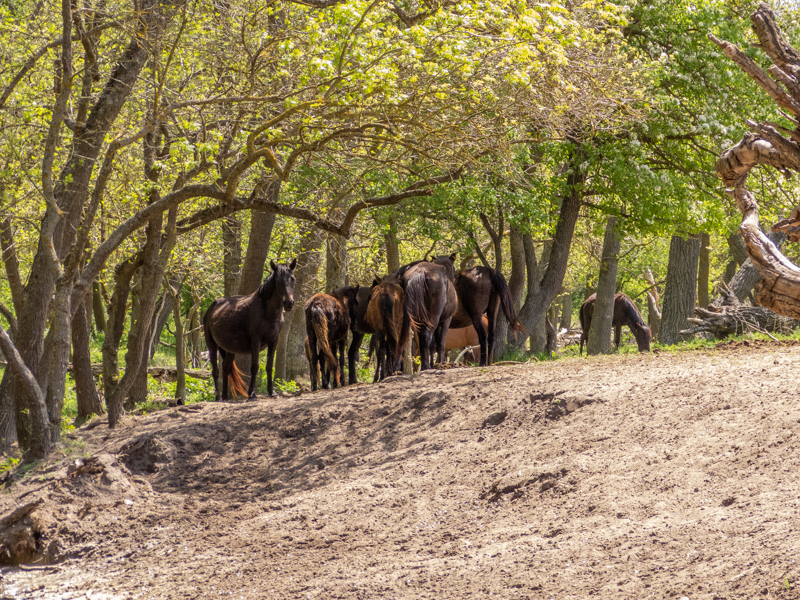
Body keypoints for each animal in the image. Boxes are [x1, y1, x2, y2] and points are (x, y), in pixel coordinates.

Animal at [203, 258, 296, 400]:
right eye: (278, 281)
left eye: (292, 279)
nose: (289, 303)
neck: (267, 311)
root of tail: (212, 308)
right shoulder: (256, 341)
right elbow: (254, 367)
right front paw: (252, 393)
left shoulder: (273, 341)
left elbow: (269, 366)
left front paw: (272, 391)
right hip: (212, 345)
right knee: (215, 371)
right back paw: (218, 397)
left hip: (229, 349)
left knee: (226, 368)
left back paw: (225, 396)